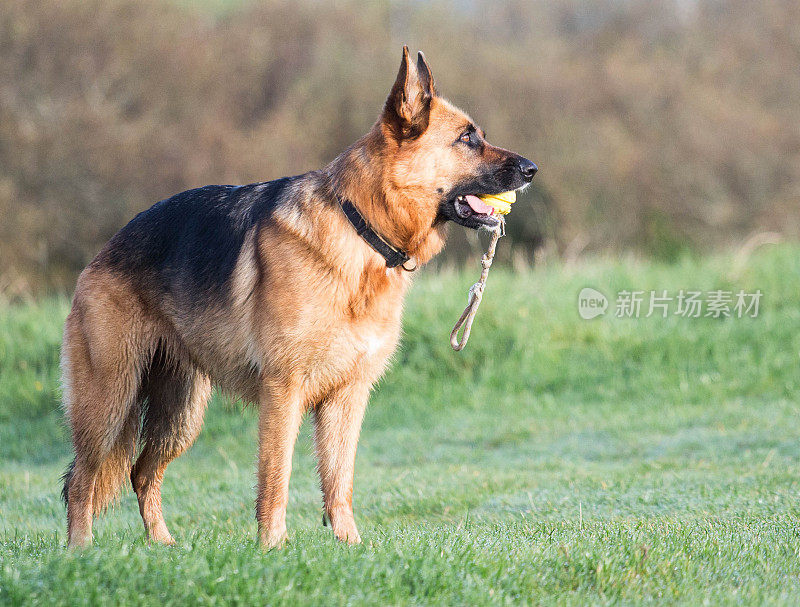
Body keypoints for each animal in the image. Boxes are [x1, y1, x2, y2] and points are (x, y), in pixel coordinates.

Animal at [62, 47, 536, 548]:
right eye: (467, 138)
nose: (532, 171)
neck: (360, 229)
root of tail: (105, 250)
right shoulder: (282, 392)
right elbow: (276, 481)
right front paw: (272, 550)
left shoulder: (348, 397)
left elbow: (339, 483)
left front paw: (350, 547)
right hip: (110, 403)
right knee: (82, 479)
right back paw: (80, 551)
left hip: (181, 415)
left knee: (141, 472)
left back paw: (163, 546)